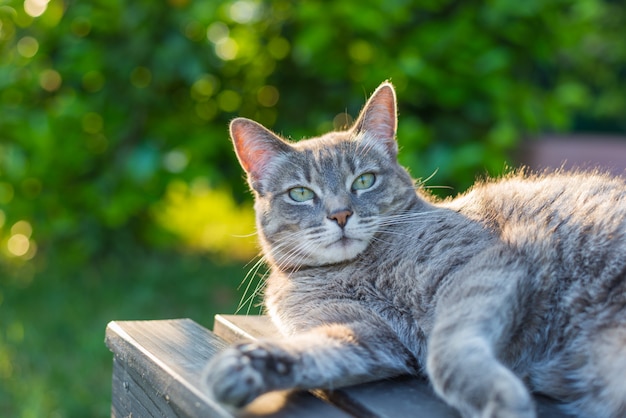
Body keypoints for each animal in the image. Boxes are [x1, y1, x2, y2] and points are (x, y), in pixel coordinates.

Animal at [204, 82, 624, 418]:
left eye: (364, 180)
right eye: (301, 193)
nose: (340, 214)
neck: (355, 269)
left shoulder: (480, 267)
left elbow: (447, 351)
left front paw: (500, 400)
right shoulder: (365, 334)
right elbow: (314, 351)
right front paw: (246, 365)